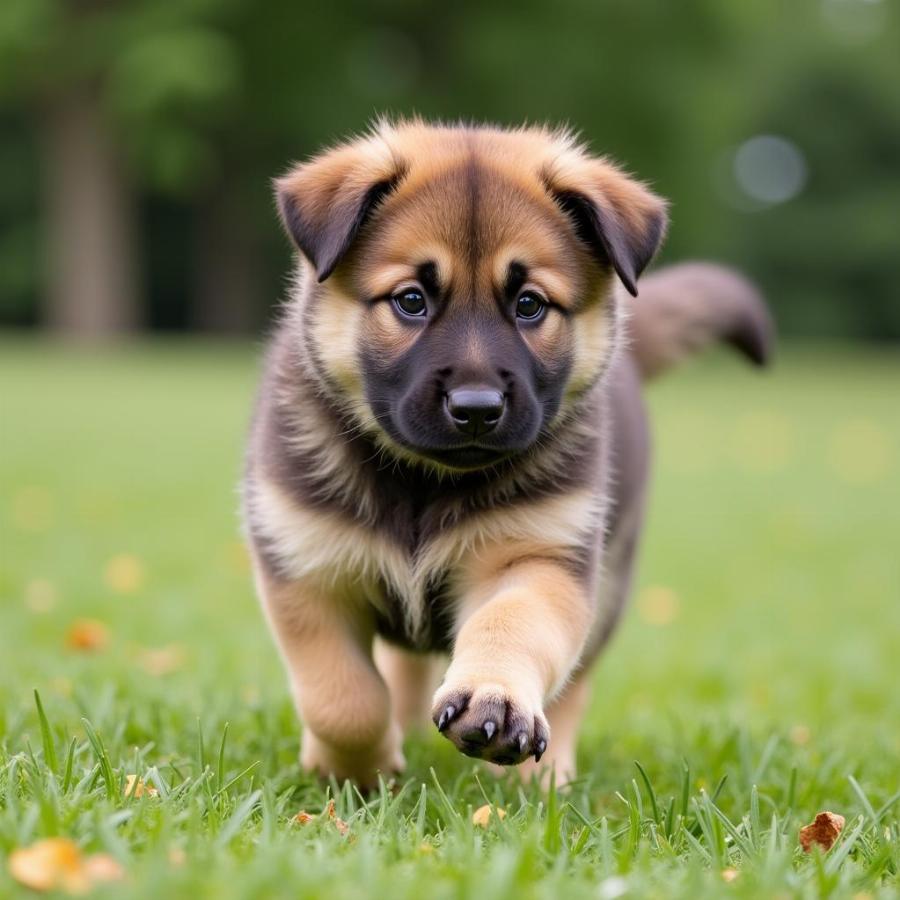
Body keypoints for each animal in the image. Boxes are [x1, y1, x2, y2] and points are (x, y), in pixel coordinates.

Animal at [241, 121, 772, 788]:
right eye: (411, 300)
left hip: (608, 586)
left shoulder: (541, 557)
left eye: (529, 305)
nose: (476, 408)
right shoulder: (308, 570)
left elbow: (511, 626)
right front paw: (356, 770)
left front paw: (492, 699)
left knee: (573, 687)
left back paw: (543, 779)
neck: (425, 484)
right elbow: (343, 700)